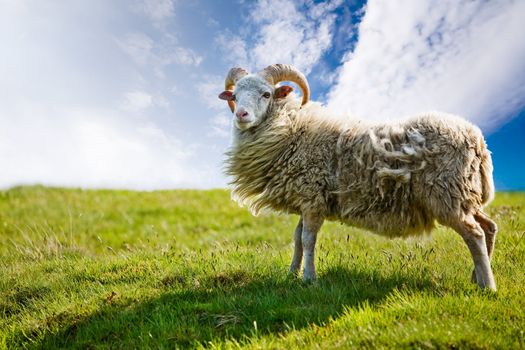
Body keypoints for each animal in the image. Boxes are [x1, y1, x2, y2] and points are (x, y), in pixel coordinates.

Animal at [219, 64, 498, 292]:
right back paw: (477, 277)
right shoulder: (307, 198)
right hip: (464, 195)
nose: (241, 115)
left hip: (447, 194)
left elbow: (308, 240)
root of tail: (476, 138)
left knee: (474, 234)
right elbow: (297, 239)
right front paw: (291, 274)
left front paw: (309, 279)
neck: (291, 130)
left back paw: (488, 287)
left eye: (266, 94)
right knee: (489, 227)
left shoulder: (312, 197)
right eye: (234, 96)